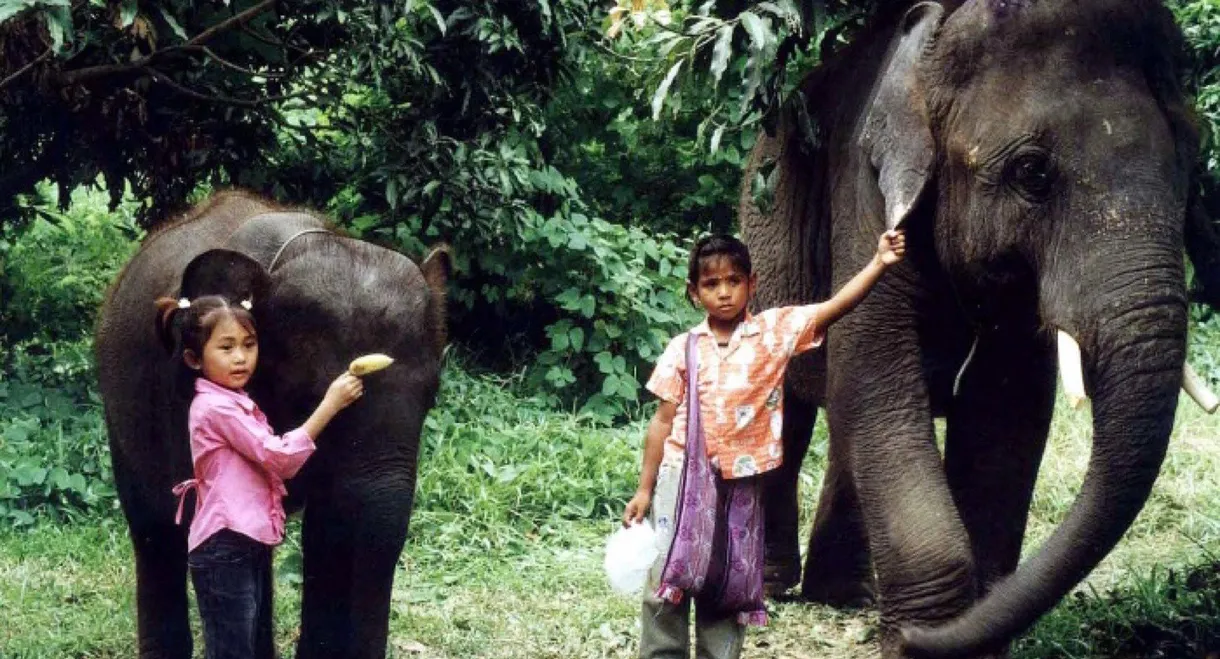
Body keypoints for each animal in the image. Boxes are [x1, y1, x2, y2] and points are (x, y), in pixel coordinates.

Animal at [739, 1, 1220, 657]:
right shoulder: (865, 197)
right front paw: (922, 635)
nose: (914, 636)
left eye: (1193, 162)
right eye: (1032, 172)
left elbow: (1004, 411)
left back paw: (845, 597)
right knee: (792, 411)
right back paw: (772, 589)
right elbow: (878, 382)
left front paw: (961, 628)